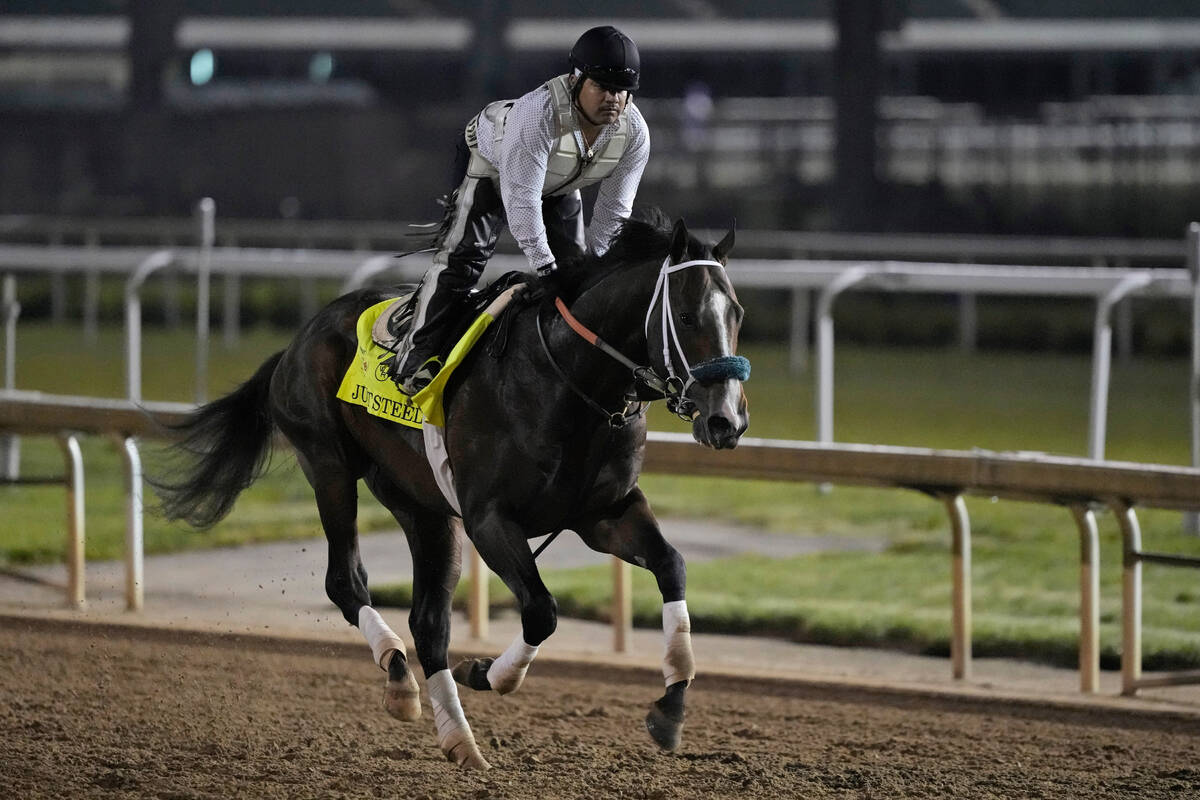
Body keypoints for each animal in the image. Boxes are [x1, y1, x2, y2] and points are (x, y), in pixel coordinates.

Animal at [154, 209, 744, 772]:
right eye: (687, 316)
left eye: (736, 314)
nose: (727, 421)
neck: (568, 380)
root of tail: (298, 340)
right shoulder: (489, 519)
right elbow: (542, 610)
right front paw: (488, 674)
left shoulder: (606, 512)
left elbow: (671, 566)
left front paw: (671, 705)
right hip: (329, 465)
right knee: (346, 582)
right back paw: (403, 680)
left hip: (423, 508)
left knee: (428, 622)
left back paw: (453, 733)